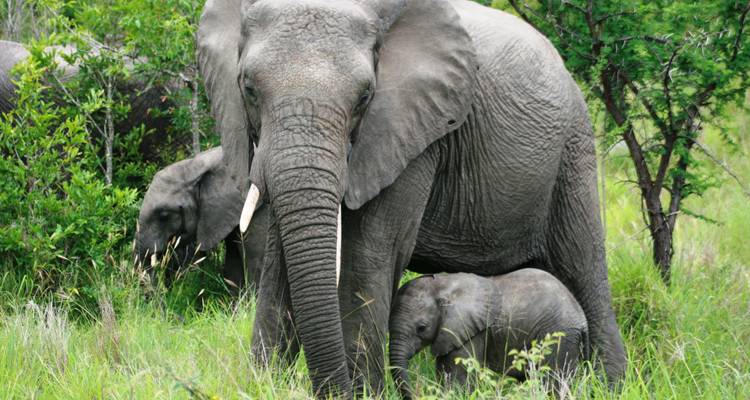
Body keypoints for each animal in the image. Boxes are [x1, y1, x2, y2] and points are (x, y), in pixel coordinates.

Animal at [389, 269, 589, 399]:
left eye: (421, 327)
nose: (415, 394)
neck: (442, 285)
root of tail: (581, 319)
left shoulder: (468, 328)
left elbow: (458, 376)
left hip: (558, 335)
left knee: (553, 381)